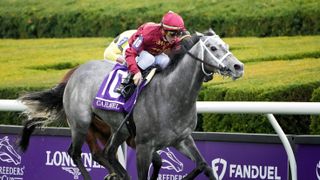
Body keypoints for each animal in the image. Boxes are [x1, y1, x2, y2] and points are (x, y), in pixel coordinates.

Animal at [18, 29, 244, 180]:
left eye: (227, 46)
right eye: (213, 48)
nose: (238, 67)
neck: (171, 95)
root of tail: (74, 74)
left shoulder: (182, 139)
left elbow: (204, 166)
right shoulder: (144, 146)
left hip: (119, 130)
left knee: (107, 153)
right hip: (81, 124)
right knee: (76, 153)